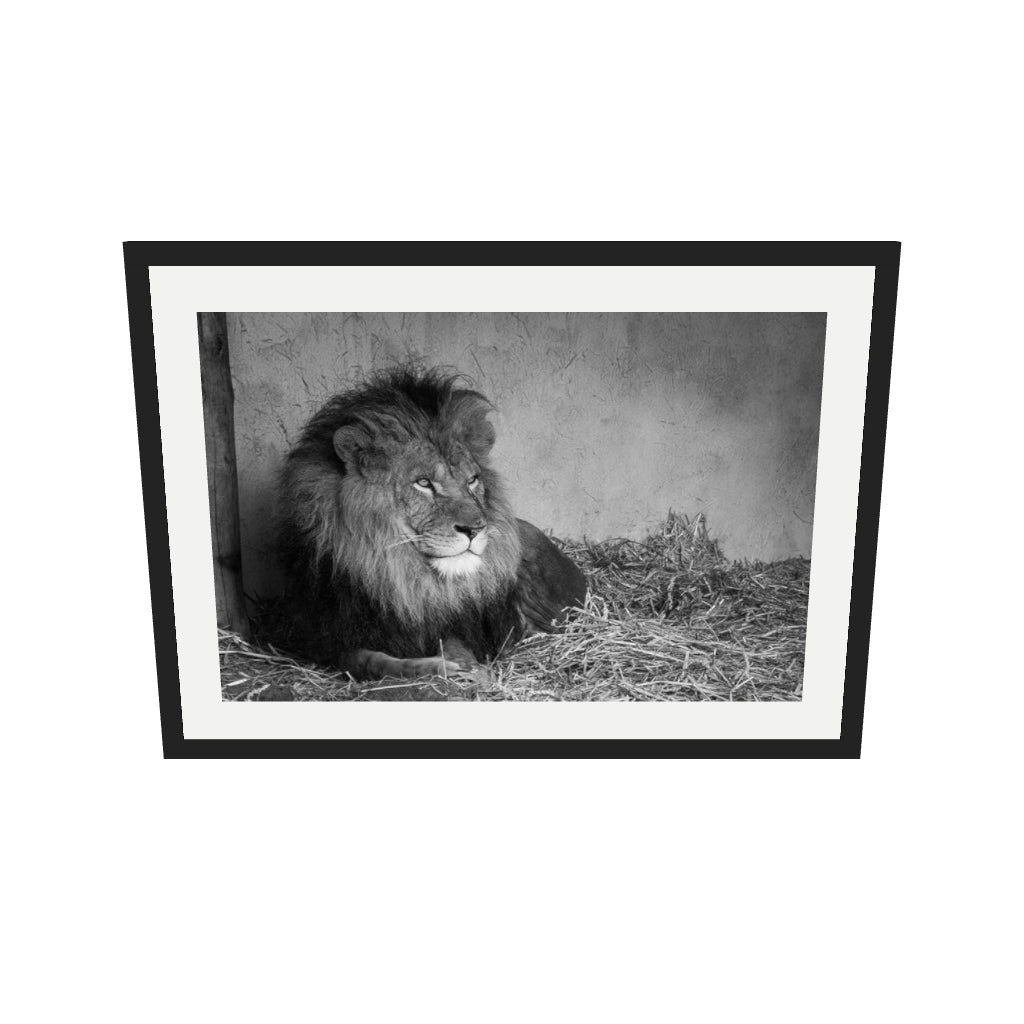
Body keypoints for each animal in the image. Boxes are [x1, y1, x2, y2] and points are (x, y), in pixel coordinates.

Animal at [277, 366, 587, 682]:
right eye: (424, 483)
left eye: (472, 480)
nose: (475, 529)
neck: (401, 577)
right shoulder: (331, 637)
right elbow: (369, 661)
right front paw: (430, 667)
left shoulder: (457, 625)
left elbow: (455, 645)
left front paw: (469, 670)